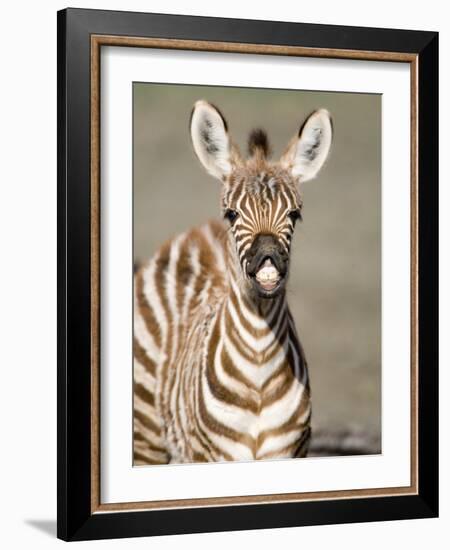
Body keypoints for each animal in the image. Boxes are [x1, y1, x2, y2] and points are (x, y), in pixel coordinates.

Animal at [132, 100, 332, 466]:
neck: (259, 367)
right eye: (232, 214)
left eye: (294, 215)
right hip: (147, 436)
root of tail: (197, 231)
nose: (267, 258)